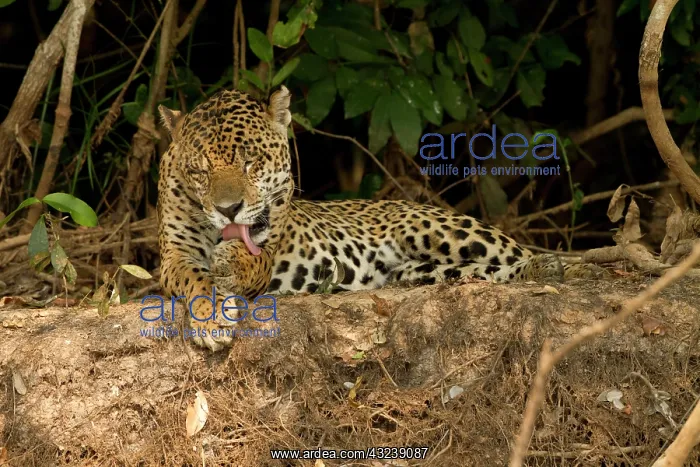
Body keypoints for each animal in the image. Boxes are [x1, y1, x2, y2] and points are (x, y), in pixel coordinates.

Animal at [157, 86, 603, 351]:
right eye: (199, 171)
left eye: (250, 161)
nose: (227, 209)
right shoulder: (174, 254)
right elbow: (193, 278)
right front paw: (210, 314)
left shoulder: (266, 247)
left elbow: (248, 259)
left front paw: (228, 268)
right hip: (426, 271)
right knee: (482, 273)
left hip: (436, 228)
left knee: (513, 254)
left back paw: (558, 267)